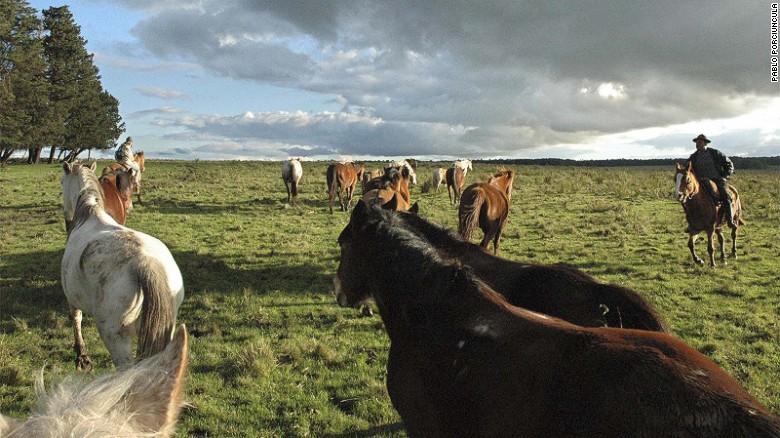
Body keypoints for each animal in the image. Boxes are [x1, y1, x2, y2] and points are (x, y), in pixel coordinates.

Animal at [60, 161, 184, 370]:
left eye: (61, 182)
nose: (65, 217)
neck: (88, 213)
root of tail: (144, 263)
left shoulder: (71, 298)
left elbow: (76, 320)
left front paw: (81, 357)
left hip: (115, 337)